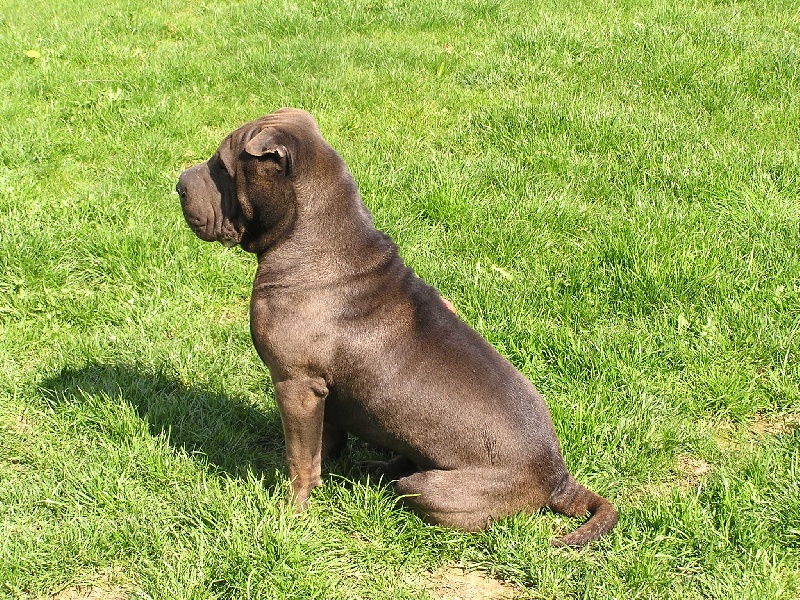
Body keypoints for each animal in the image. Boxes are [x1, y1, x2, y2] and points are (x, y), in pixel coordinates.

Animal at [177, 105, 620, 548]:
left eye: (222, 166)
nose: (179, 184)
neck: (314, 235)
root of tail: (558, 477)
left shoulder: (296, 384)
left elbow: (300, 458)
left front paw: (292, 511)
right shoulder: (321, 393)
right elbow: (325, 440)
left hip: (431, 489)